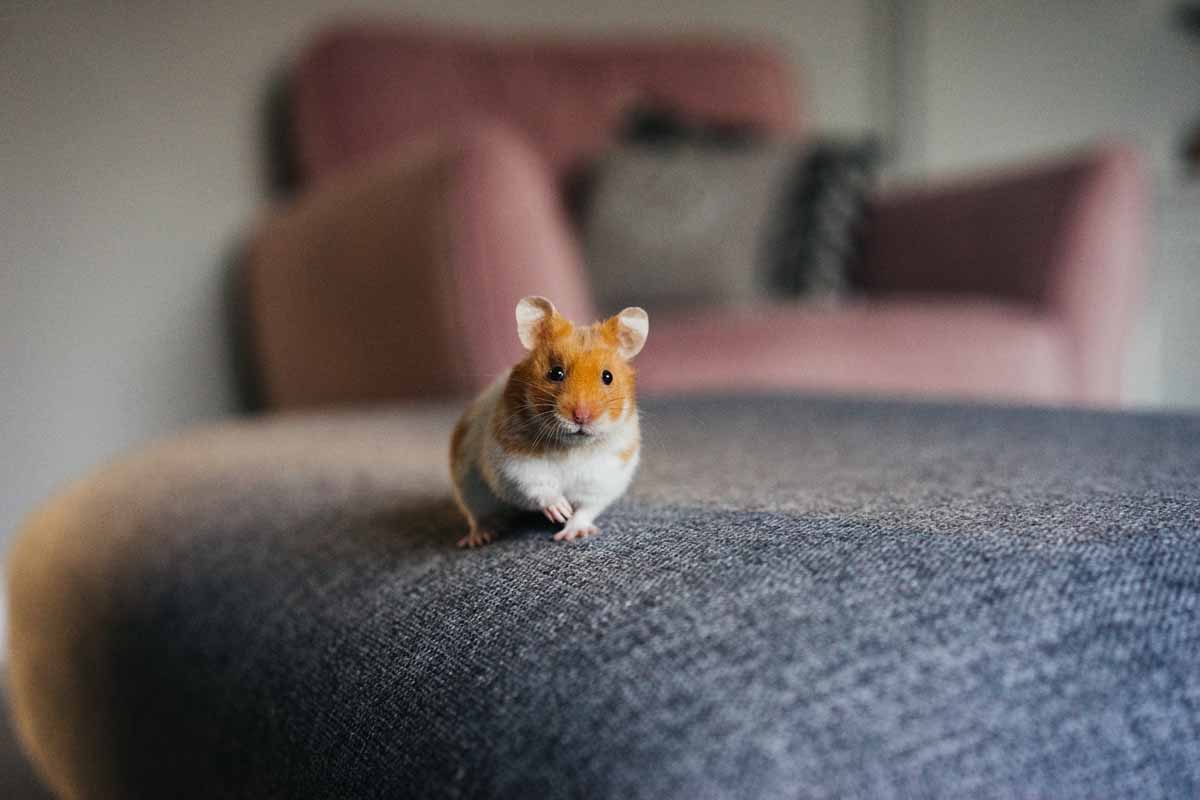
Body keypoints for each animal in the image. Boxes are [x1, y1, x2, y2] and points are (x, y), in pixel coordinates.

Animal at [449, 296, 649, 547]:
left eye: (607, 376)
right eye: (555, 373)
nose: (581, 416)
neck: (571, 447)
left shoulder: (604, 477)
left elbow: (586, 508)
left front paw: (571, 533)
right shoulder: (514, 465)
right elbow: (538, 487)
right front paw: (561, 510)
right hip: (468, 484)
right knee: (477, 515)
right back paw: (480, 538)